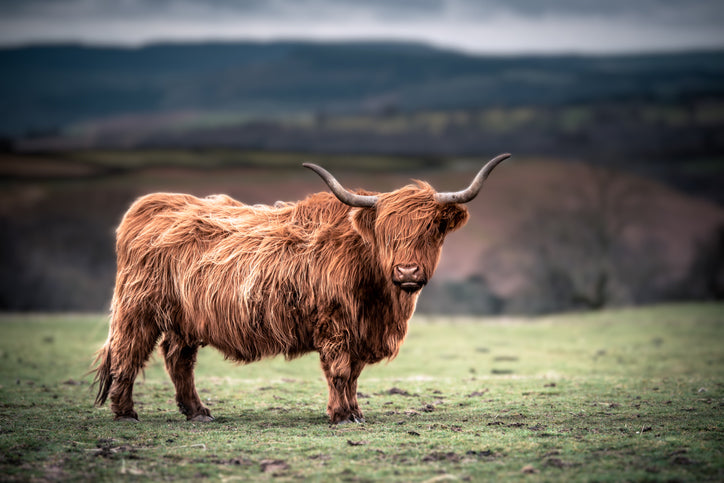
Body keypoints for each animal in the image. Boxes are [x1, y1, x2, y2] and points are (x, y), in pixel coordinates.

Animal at [92, 155, 510, 424]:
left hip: (187, 318)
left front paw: (355, 411)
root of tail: (156, 203)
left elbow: (354, 374)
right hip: (138, 307)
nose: (407, 271)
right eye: (385, 231)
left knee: (178, 359)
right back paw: (126, 413)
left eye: (432, 228)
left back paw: (197, 412)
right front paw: (341, 416)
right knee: (128, 353)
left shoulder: (361, 330)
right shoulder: (336, 326)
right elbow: (339, 371)